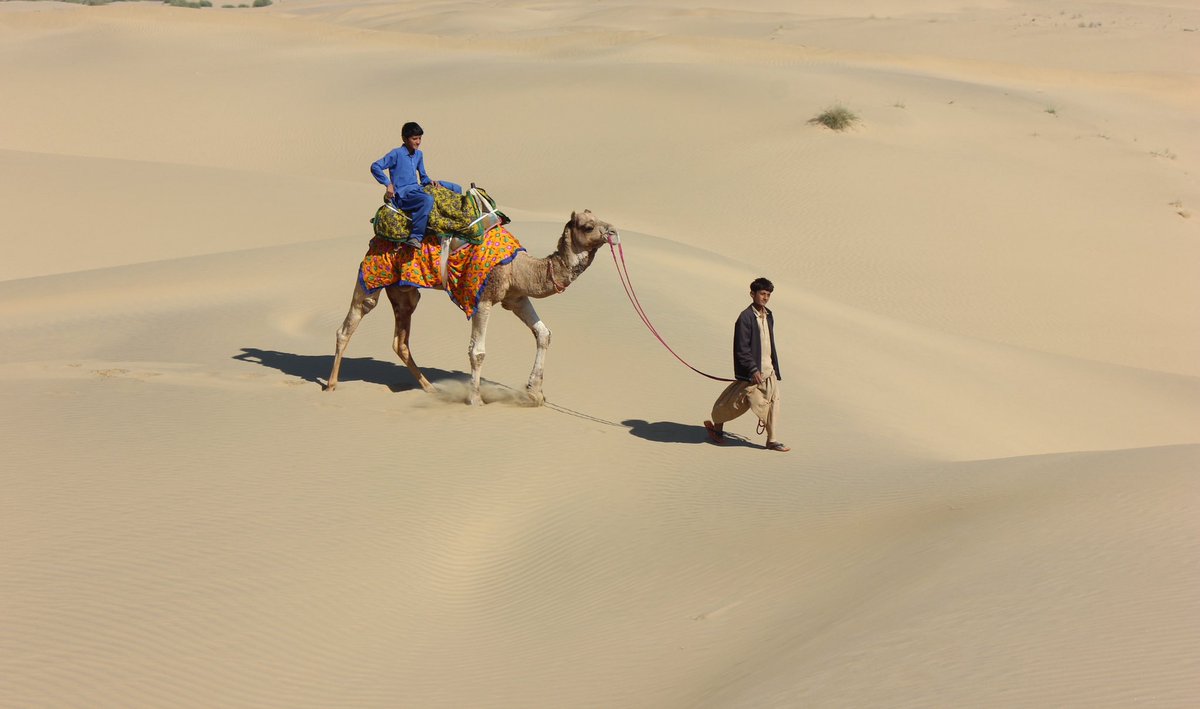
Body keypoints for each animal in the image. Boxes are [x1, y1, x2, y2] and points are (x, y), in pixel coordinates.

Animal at [326, 210, 618, 405]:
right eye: (589, 226)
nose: (614, 231)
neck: (519, 268)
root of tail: (375, 237)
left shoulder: (515, 298)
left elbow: (543, 333)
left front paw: (535, 392)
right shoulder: (482, 299)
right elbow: (477, 352)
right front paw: (475, 400)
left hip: (404, 291)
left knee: (401, 340)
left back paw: (430, 388)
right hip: (372, 276)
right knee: (349, 324)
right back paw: (330, 385)